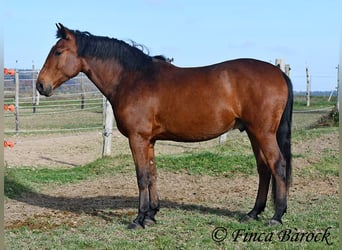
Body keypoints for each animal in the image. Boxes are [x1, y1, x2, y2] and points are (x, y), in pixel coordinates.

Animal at [37, 23, 294, 229]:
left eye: (58, 51)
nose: (41, 85)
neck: (132, 78)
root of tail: (278, 73)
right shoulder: (149, 141)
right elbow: (152, 174)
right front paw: (151, 215)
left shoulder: (137, 138)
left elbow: (141, 177)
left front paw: (138, 219)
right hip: (253, 132)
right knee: (263, 168)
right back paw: (253, 213)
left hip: (263, 132)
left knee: (277, 165)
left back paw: (277, 216)